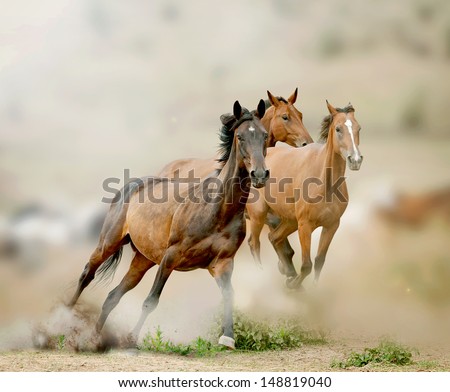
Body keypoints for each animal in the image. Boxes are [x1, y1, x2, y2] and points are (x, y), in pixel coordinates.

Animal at [68, 99, 268, 348]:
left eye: (264, 135)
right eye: (240, 136)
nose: (260, 175)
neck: (217, 210)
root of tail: (131, 185)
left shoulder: (222, 263)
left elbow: (229, 296)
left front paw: (227, 338)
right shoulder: (171, 257)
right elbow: (151, 300)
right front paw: (132, 338)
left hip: (142, 260)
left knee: (113, 296)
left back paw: (95, 338)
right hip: (109, 243)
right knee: (87, 274)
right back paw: (62, 321)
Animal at [246, 102, 362, 288]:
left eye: (359, 128)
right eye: (338, 128)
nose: (355, 160)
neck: (325, 184)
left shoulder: (331, 226)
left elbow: (319, 261)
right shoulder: (305, 226)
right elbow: (307, 264)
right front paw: (294, 285)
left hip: (289, 221)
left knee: (274, 238)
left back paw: (287, 272)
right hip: (258, 216)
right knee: (254, 243)